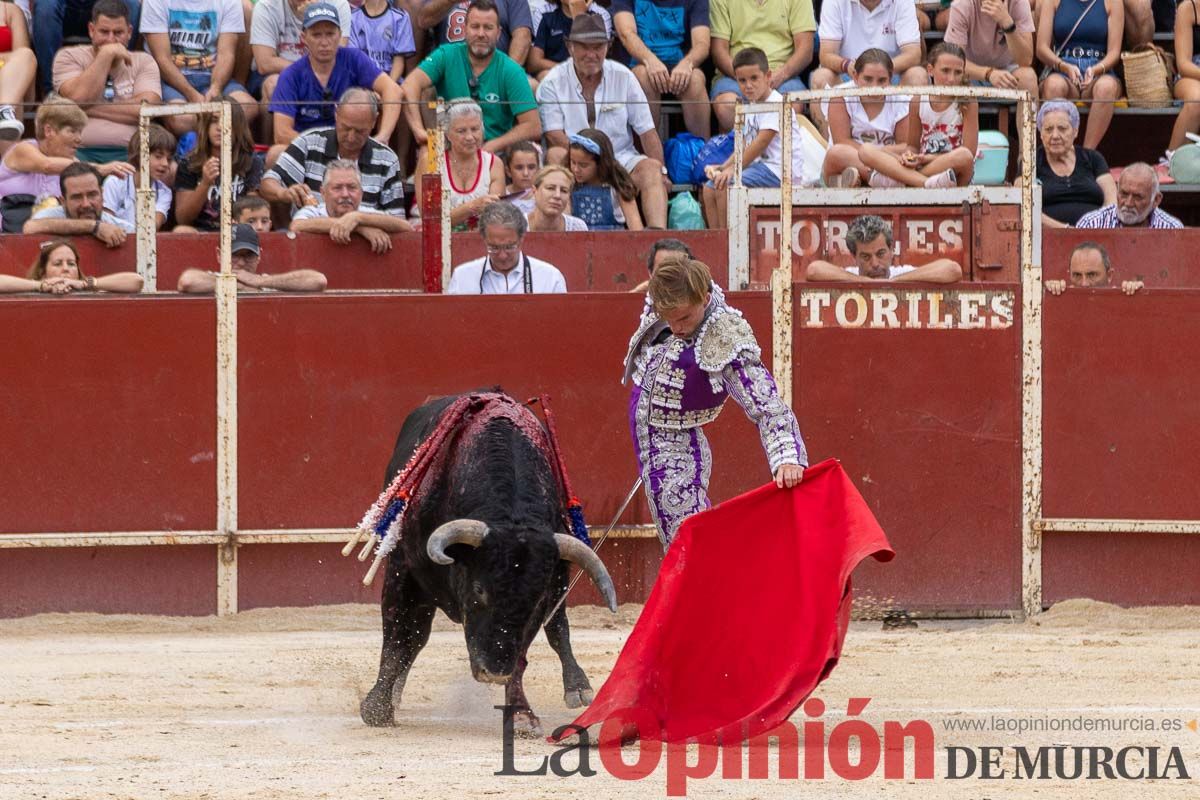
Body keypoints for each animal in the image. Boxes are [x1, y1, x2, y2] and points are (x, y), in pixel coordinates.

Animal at [357, 391, 619, 734]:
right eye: (480, 590)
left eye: (535, 599)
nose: (494, 672)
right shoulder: (403, 570)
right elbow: (397, 636)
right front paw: (377, 708)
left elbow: (523, 652)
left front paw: (521, 714)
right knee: (414, 637)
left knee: (558, 627)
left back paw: (577, 685)